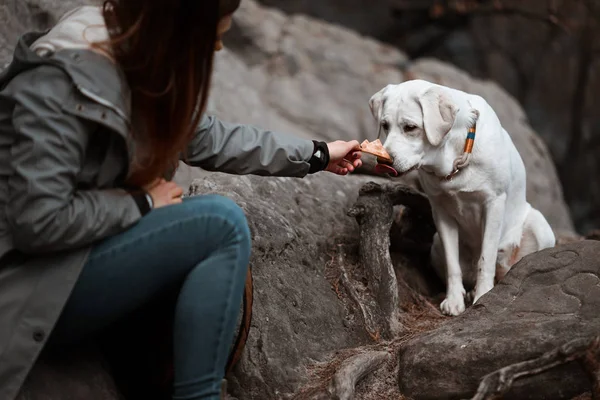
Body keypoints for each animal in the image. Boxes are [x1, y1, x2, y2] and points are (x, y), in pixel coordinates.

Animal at [370, 79, 556, 316]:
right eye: (385, 125)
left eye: (410, 127)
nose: (384, 161)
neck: (453, 159)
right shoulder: (441, 211)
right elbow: (453, 265)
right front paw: (454, 300)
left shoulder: (494, 203)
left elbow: (486, 258)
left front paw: (484, 295)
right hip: (436, 245)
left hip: (539, 226)